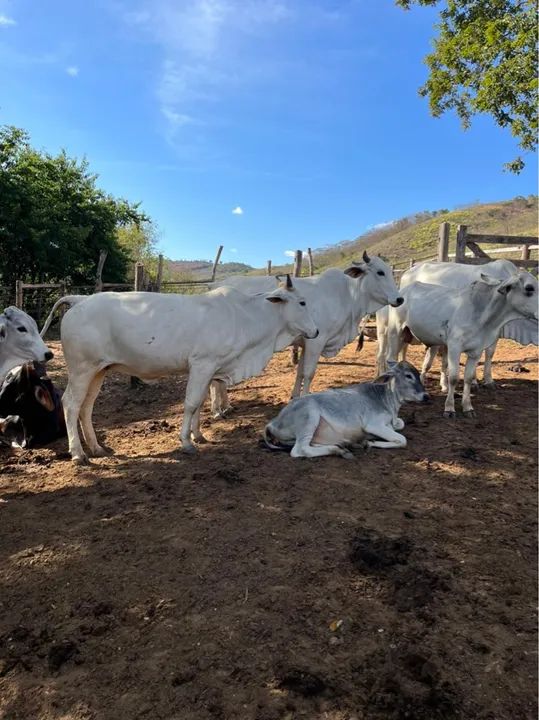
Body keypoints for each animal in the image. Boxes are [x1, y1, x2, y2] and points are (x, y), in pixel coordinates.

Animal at [40, 276, 318, 464]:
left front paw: (199, 435)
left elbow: (201, 403)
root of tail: (80, 300)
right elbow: (191, 403)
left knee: (86, 407)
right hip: (82, 369)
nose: (315, 331)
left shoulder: (210, 369)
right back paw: (78, 454)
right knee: (71, 403)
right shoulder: (202, 363)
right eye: (302, 302)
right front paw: (186, 442)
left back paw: (96, 448)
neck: (245, 317)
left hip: (99, 370)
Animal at [210, 252, 403, 416]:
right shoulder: (316, 341)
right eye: (380, 272)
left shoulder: (305, 342)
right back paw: (217, 409)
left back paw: (225, 406)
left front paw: (295, 397)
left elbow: (300, 372)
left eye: (389, 271)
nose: (399, 299)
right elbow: (309, 372)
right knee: (214, 380)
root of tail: (215, 285)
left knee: (219, 380)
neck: (348, 295)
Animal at [263, 361, 429, 459]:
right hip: (309, 417)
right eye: (408, 376)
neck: (388, 401)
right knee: (300, 450)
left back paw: (346, 444)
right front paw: (371, 443)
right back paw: (339, 450)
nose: (426, 396)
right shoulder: (373, 424)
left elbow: (401, 424)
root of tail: (272, 422)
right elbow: (402, 439)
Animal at [385, 271, 538, 418]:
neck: (483, 316)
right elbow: (453, 378)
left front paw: (467, 407)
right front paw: (449, 408)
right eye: (529, 288)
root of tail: (404, 290)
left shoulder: (476, 351)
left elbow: (468, 378)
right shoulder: (454, 347)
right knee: (390, 359)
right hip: (395, 332)